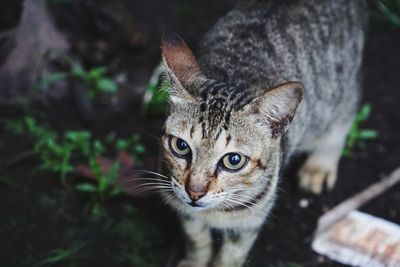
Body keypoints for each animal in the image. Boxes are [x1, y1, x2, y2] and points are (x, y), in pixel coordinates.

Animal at [158, 1, 368, 266]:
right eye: (181, 146)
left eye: (233, 160)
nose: (194, 192)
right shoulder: (182, 207)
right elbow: (197, 240)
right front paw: (194, 260)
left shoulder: (249, 223)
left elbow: (230, 258)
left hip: (338, 91)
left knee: (345, 113)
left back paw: (320, 164)